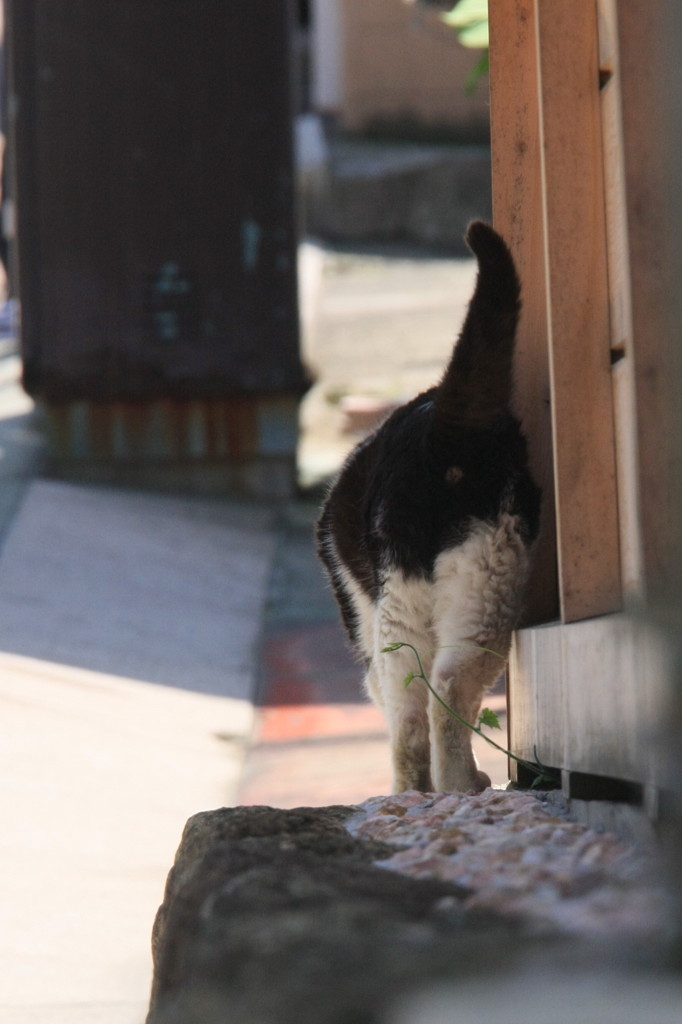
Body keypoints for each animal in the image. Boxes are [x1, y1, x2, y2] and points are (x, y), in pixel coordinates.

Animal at [315, 224, 540, 794]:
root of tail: (444, 426)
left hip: (438, 590)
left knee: (420, 704)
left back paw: (436, 788)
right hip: (485, 571)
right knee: (439, 688)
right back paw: (456, 786)